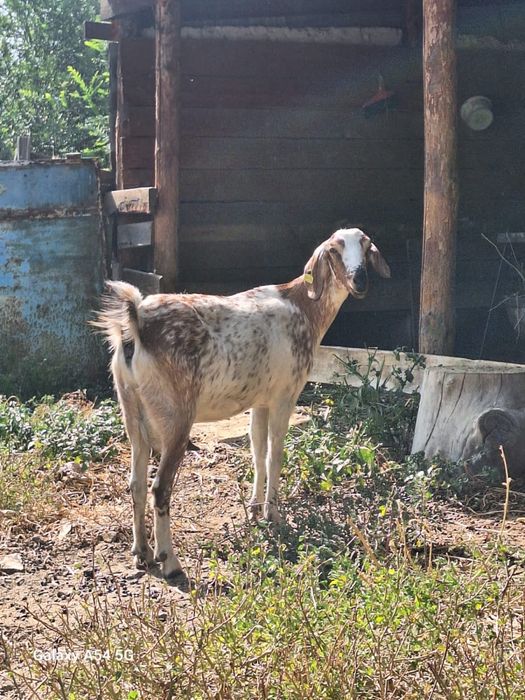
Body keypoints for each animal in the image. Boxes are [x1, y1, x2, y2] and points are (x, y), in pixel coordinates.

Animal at [94, 228, 390, 577]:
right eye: (334, 250)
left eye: (366, 246)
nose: (360, 281)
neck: (303, 307)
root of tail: (136, 324)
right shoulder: (284, 395)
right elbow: (275, 455)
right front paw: (273, 515)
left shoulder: (259, 400)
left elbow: (257, 452)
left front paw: (254, 509)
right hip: (175, 415)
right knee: (160, 488)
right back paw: (170, 562)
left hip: (131, 409)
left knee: (136, 483)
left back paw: (140, 552)